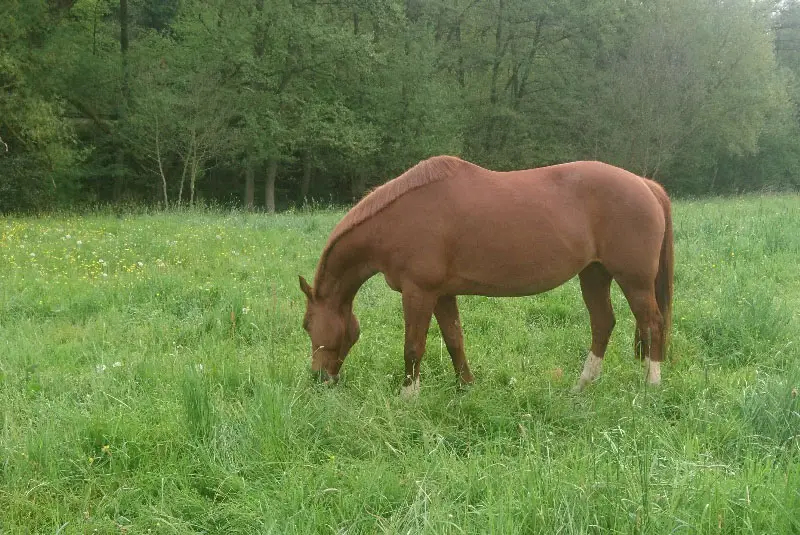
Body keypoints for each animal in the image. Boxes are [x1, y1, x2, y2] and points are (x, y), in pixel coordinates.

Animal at [296, 153, 672, 396]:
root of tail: (646, 184)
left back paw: (652, 385)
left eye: (306, 324)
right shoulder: (442, 294)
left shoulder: (419, 292)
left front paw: (408, 398)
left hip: (634, 280)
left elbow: (413, 347)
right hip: (594, 275)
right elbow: (454, 340)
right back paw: (581, 386)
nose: (318, 379)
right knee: (603, 323)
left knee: (652, 323)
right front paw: (466, 387)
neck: (396, 221)